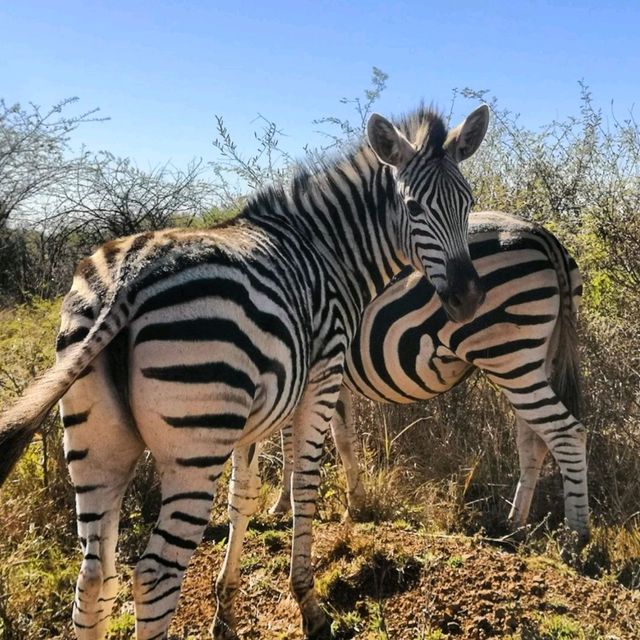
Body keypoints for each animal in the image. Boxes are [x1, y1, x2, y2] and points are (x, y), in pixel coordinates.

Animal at [0, 105, 490, 640]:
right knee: (153, 575)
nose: (468, 298)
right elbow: (304, 486)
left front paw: (226, 609)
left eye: (468, 203)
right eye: (413, 207)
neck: (328, 248)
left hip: (97, 446)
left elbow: (243, 498)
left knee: (93, 579)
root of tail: (130, 277)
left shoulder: (254, 413)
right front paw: (309, 604)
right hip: (194, 443)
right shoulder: (321, 379)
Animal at [272, 212, 588, 544]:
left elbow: (291, 441)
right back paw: (513, 525)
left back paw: (576, 536)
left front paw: (282, 505)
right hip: (536, 359)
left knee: (568, 433)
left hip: (509, 356)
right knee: (534, 441)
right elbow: (343, 438)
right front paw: (355, 504)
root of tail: (541, 234)